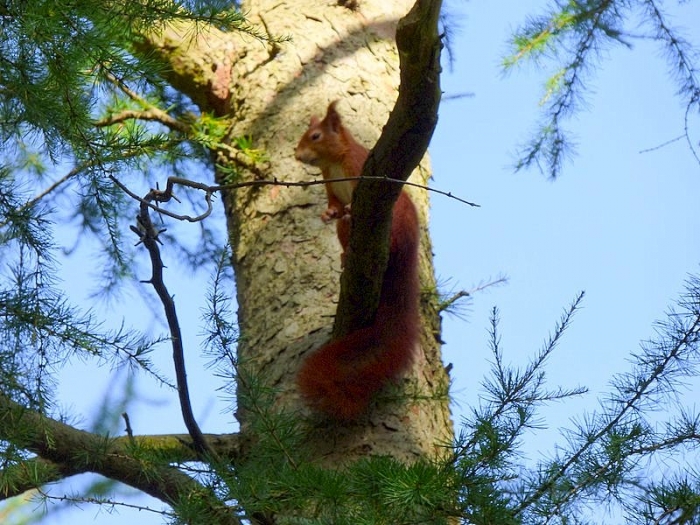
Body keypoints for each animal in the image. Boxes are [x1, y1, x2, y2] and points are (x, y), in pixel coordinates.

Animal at [294, 102, 420, 420]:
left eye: (315, 136)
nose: (296, 153)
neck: (335, 163)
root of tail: (407, 254)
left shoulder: (360, 169)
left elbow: (352, 200)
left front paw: (351, 206)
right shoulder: (330, 184)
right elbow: (335, 207)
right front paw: (328, 213)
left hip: (394, 225)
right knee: (344, 229)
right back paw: (344, 255)